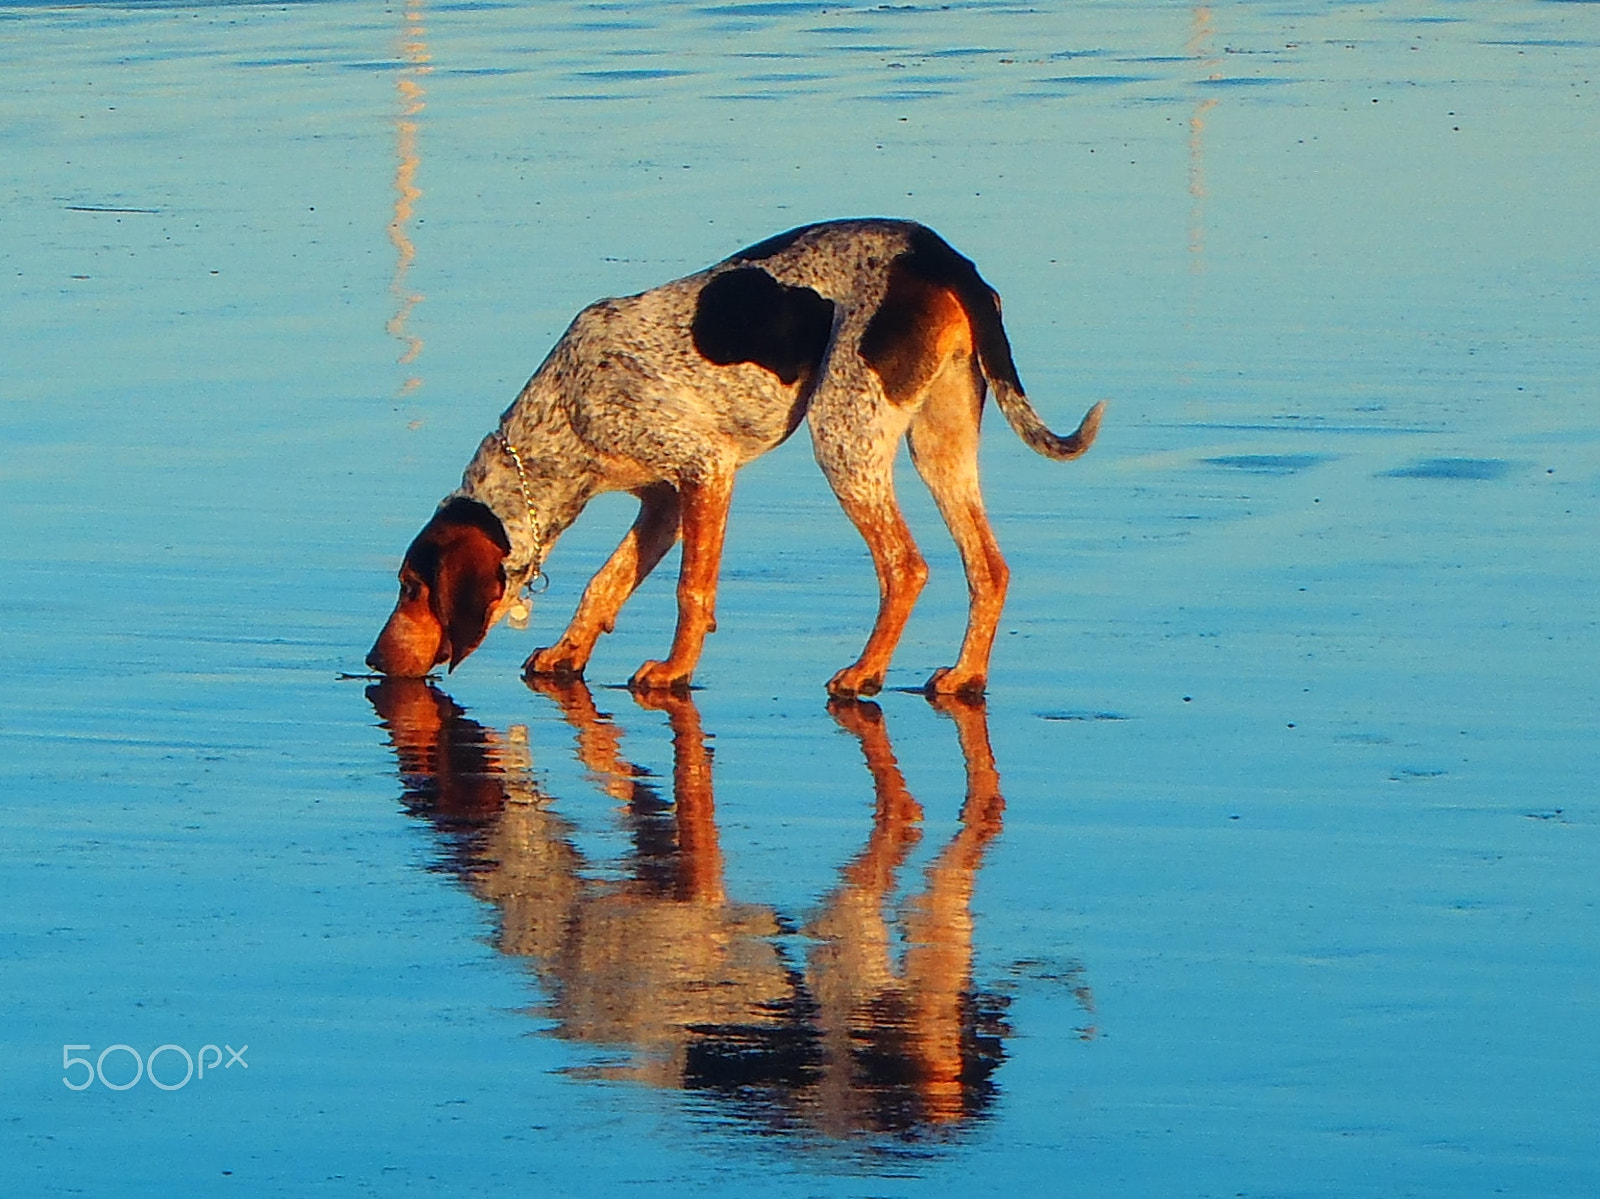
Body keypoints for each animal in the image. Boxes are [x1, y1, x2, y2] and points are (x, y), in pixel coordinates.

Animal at [368, 219, 1107, 697]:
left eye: (410, 588)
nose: (373, 661)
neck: (562, 415)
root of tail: (942, 257)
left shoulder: (704, 471)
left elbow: (690, 590)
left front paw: (674, 672)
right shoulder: (664, 501)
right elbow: (605, 583)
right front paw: (568, 652)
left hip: (844, 437)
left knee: (905, 565)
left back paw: (863, 672)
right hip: (938, 445)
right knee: (989, 568)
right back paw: (964, 676)